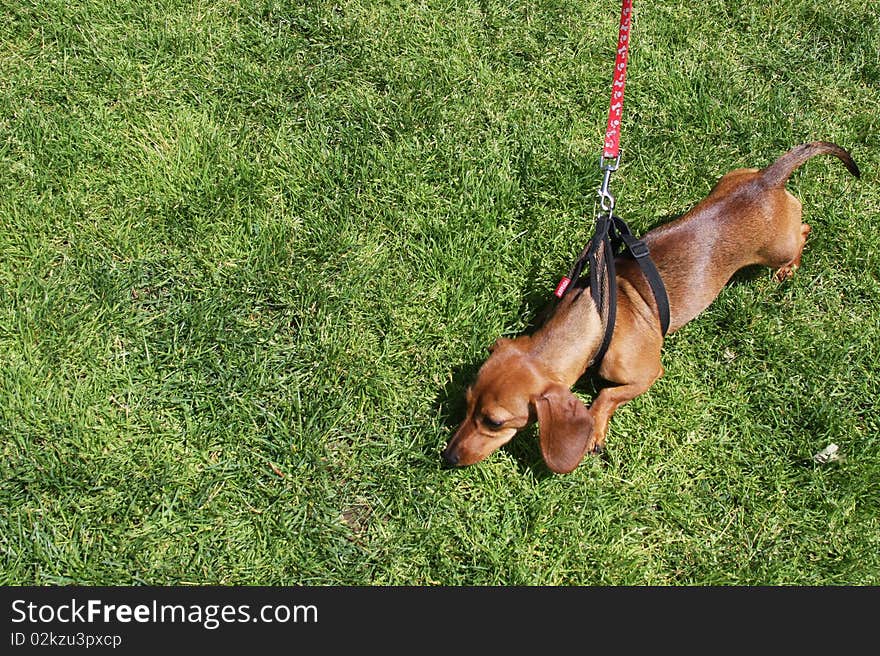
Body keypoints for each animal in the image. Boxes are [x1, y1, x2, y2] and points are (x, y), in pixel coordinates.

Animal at [444, 142, 856, 472]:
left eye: (495, 422)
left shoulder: (647, 374)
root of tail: (768, 180)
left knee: (803, 233)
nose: (447, 457)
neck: (595, 316)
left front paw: (594, 427)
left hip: (777, 248)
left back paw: (789, 269)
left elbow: (607, 394)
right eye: (466, 403)